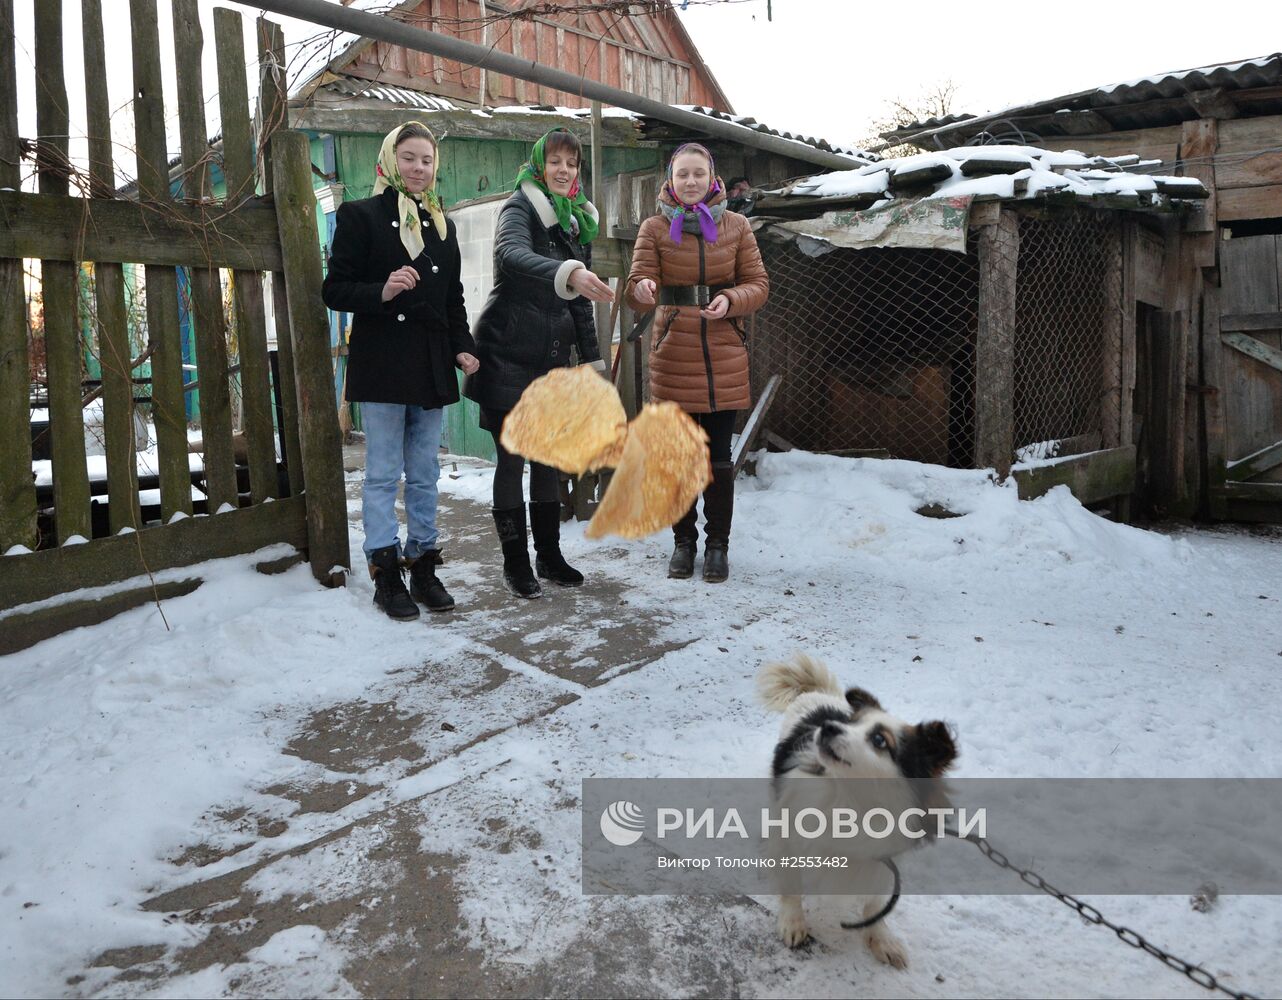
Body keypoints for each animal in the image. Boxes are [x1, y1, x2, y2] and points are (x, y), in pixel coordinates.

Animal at [753, 651, 958, 964]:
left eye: (879, 740)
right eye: (852, 723)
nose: (828, 726)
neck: (850, 800)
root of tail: (819, 694)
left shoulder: (882, 859)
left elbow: (875, 902)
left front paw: (881, 939)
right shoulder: (789, 837)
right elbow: (791, 885)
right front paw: (792, 922)